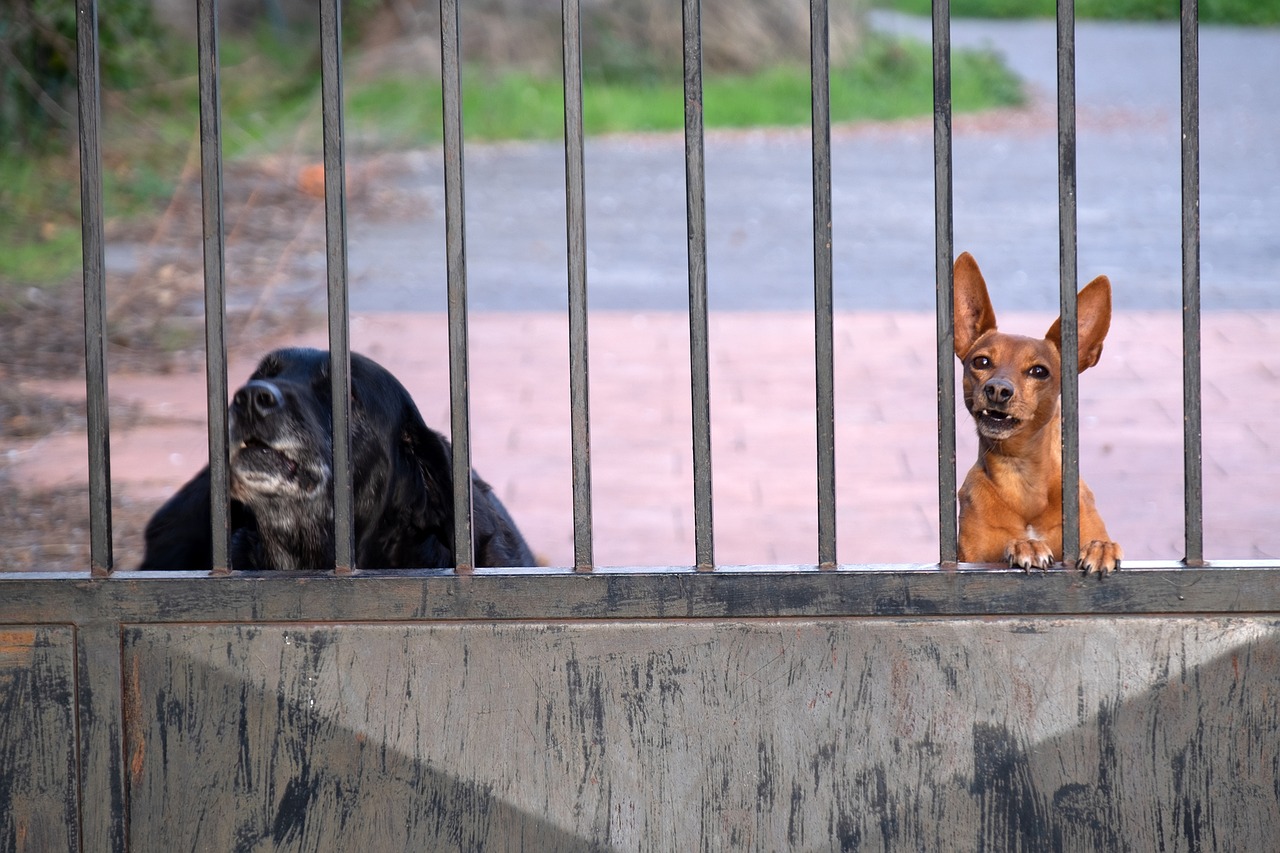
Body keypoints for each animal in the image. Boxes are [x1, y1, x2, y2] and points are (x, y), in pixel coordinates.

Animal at [952, 251, 1121, 571]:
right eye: (981, 362)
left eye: (1039, 371)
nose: (998, 389)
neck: (1021, 476)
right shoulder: (972, 561)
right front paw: (1026, 545)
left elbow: (1097, 542)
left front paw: (1100, 548)